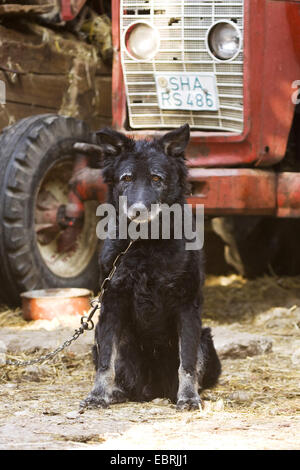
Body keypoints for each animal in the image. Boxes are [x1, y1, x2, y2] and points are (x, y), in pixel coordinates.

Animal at [78, 123, 221, 410]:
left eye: (156, 179)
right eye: (126, 179)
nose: (138, 211)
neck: (145, 243)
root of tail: (152, 390)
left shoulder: (187, 306)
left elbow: (187, 364)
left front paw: (189, 397)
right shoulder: (111, 304)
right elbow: (105, 363)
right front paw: (98, 395)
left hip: (206, 340)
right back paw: (117, 392)